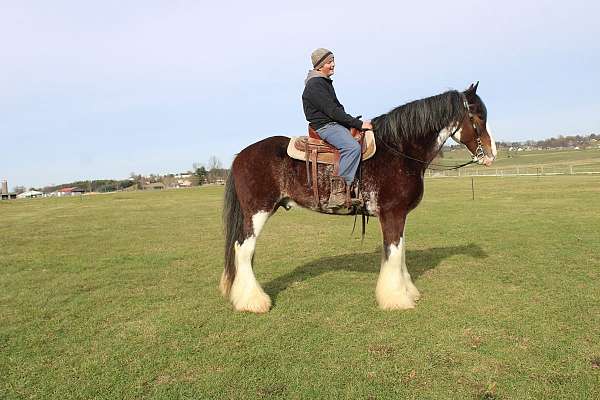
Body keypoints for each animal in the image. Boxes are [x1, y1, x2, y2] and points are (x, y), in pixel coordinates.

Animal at [220, 82, 496, 312]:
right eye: (478, 116)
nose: (491, 154)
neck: (400, 150)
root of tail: (240, 155)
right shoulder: (392, 213)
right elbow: (394, 252)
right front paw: (396, 298)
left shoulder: (399, 215)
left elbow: (400, 251)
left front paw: (408, 291)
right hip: (257, 212)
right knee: (243, 250)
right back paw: (252, 302)